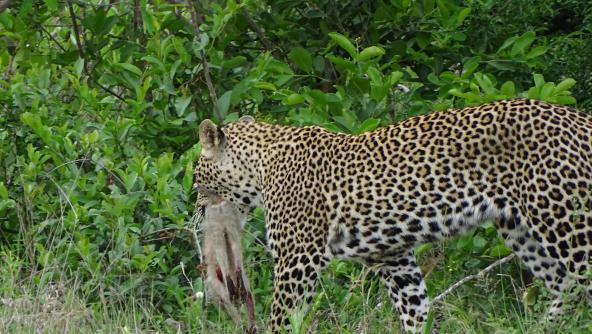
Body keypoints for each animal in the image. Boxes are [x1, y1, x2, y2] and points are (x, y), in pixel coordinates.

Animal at [194, 98, 592, 332]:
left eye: (197, 179)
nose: (197, 217)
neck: (260, 165)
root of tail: (579, 119)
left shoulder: (298, 259)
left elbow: (282, 318)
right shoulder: (393, 257)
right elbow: (415, 310)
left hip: (565, 220)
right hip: (521, 228)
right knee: (568, 289)